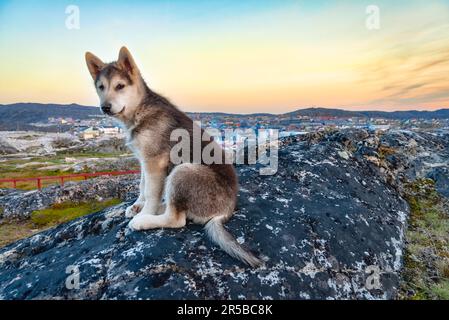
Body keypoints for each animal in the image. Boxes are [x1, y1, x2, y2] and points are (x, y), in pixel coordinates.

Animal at [85, 47, 262, 268]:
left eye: (120, 86)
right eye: (101, 87)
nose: (105, 107)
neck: (139, 110)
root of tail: (224, 212)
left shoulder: (154, 162)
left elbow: (151, 193)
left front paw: (144, 212)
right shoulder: (144, 160)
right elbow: (143, 186)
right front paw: (138, 204)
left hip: (183, 171)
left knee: (176, 219)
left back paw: (144, 220)